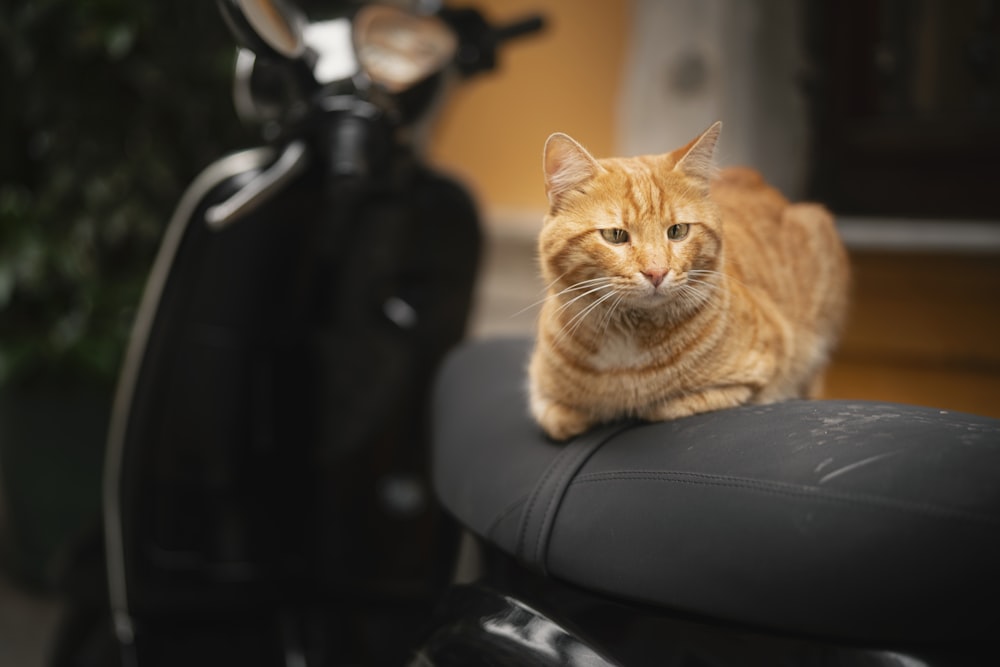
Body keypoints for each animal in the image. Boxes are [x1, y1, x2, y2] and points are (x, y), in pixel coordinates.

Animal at [528, 122, 848, 440]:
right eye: (615, 236)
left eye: (677, 231)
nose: (656, 272)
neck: (626, 342)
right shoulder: (542, 397)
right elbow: (562, 419)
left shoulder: (759, 377)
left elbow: (662, 406)